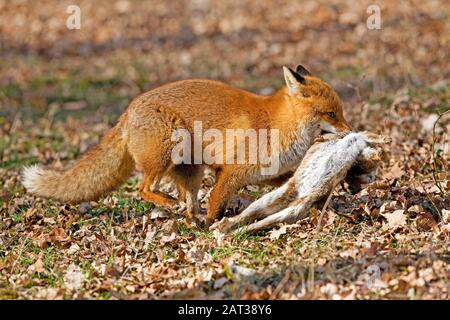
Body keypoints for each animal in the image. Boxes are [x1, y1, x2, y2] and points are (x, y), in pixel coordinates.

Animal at [22, 64, 352, 225]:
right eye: (331, 114)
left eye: (341, 112)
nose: (352, 131)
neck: (276, 124)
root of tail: (127, 111)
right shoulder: (228, 172)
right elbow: (216, 205)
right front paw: (215, 232)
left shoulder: (265, 174)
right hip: (168, 150)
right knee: (144, 189)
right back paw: (172, 206)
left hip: (191, 173)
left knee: (189, 205)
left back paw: (188, 219)